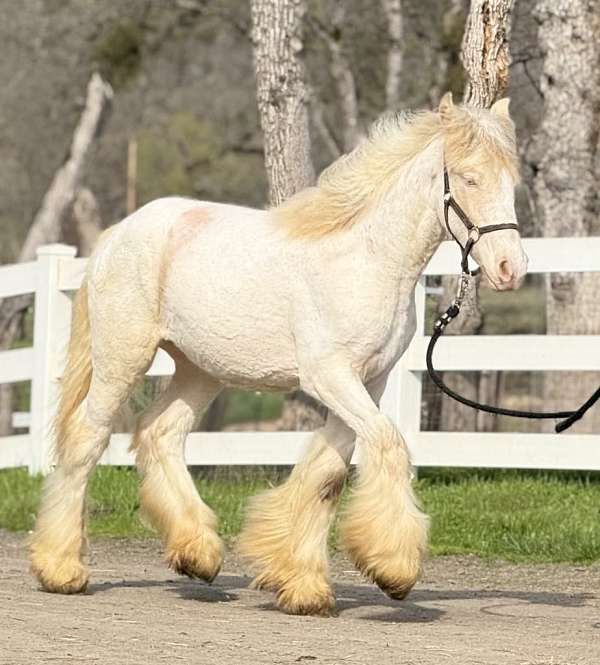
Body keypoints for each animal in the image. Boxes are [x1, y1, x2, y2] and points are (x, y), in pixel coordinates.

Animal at [29, 92, 527, 616]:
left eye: (511, 180)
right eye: (469, 178)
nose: (510, 268)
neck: (367, 259)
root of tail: (117, 234)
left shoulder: (369, 382)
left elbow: (328, 475)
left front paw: (301, 585)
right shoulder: (332, 377)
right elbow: (387, 446)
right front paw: (393, 569)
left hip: (199, 370)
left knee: (159, 433)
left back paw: (198, 554)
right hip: (122, 360)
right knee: (87, 439)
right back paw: (61, 569)